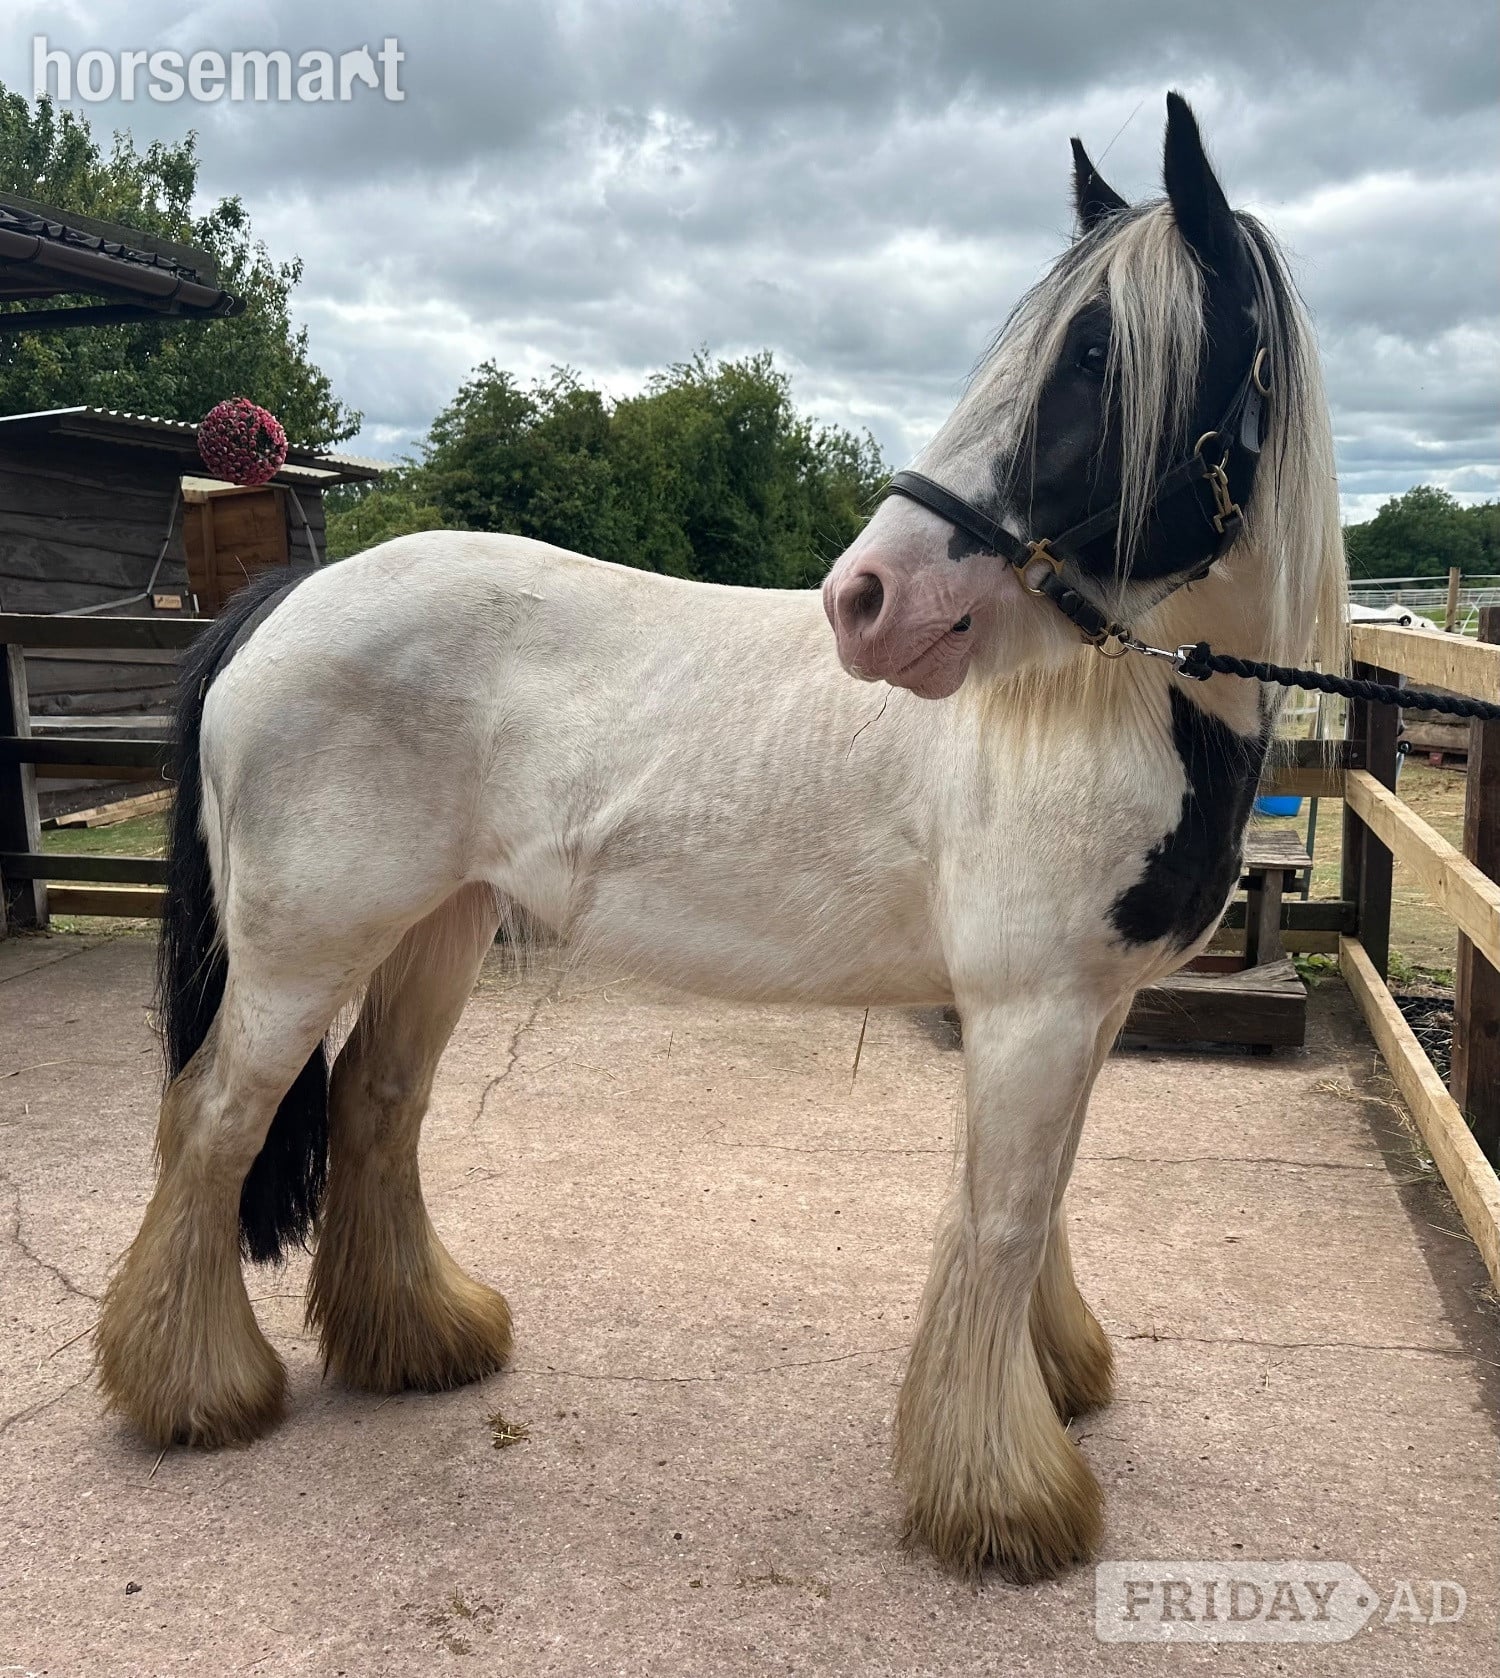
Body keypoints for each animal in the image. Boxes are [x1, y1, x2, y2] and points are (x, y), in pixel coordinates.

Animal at [95, 93, 1345, 1583]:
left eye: (1098, 356)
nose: (869, 600)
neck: (1117, 712)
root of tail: (282, 603)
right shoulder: (1030, 1009)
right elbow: (998, 1218)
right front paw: (1002, 1498)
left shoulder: (1082, 1011)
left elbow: (1039, 1203)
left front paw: (1052, 1384)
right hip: (301, 952)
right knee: (214, 1121)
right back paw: (195, 1391)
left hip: (440, 927)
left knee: (376, 1106)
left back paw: (422, 1340)